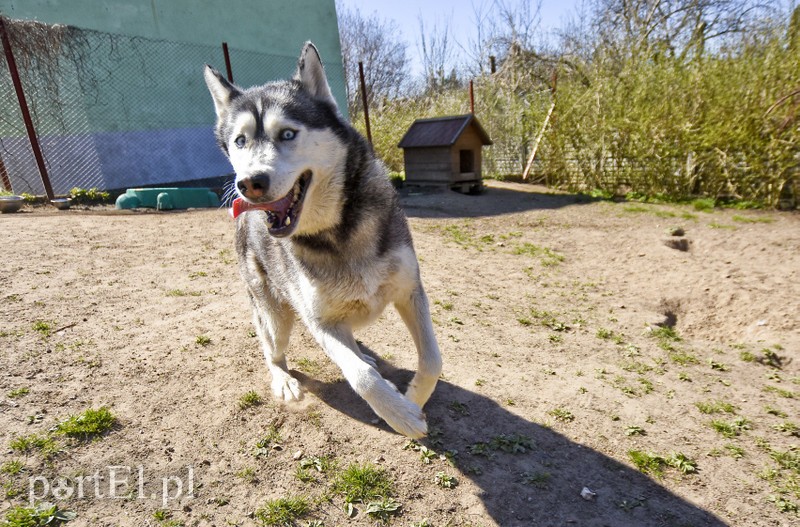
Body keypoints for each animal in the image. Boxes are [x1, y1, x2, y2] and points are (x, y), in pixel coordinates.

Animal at [206, 42, 440, 438]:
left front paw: (413, 398)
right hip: (276, 318)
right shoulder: (320, 322)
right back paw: (283, 378)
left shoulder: (411, 291)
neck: (339, 230)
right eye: (240, 141)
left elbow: (433, 361)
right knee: (272, 349)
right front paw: (401, 414)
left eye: (287, 134)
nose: (249, 182)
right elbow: (361, 378)